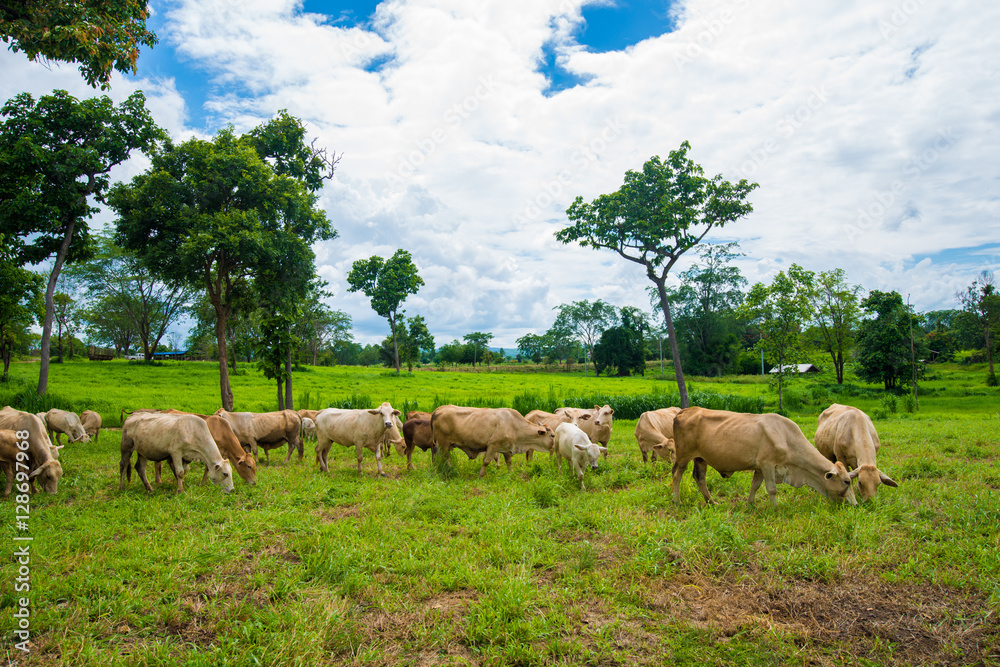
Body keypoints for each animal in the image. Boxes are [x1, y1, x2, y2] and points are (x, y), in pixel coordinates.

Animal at [671, 407, 857, 508]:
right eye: (846, 481)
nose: (855, 504)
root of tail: (685, 411)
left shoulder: (759, 467)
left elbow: (755, 486)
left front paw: (750, 504)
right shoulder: (767, 464)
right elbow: (772, 489)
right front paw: (775, 508)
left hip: (700, 459)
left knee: (699, 477)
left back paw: (712, 502)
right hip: (683, 456)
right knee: (677, 475)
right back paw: (676, 500)